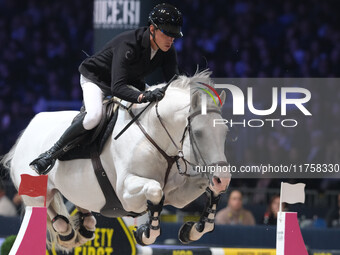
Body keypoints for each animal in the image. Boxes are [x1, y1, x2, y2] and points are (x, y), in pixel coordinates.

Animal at [1, 70, 230, 250]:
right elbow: (156, 192)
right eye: (198, 133)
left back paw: (83, 227)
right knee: (46, 208)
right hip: (35, 192)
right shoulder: (127, 193)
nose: (223, 178)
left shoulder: (178, 194)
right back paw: (66, 229)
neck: (155, 136)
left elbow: (205, 190)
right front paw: (146, 232)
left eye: (226, 132)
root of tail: (28, 129)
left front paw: (193, 229)